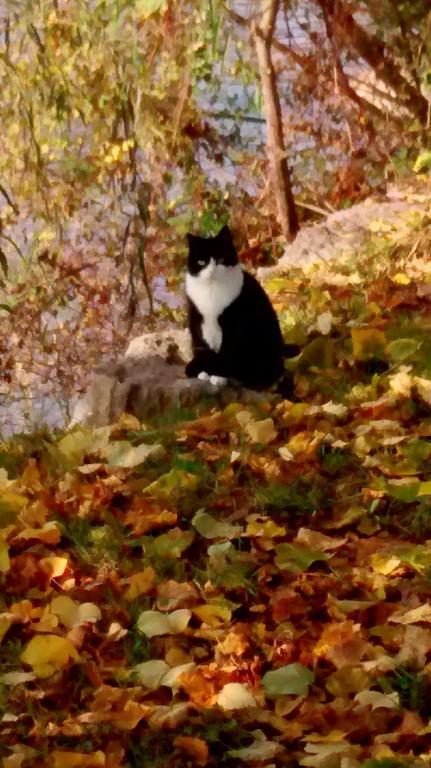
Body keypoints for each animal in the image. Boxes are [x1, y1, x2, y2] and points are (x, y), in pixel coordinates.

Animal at [186, 222, 294, 390]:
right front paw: (204, 372)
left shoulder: (235, 324)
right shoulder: (198, 322)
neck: (211, 289)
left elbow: (226, 353)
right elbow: (204, 348)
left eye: (220, 258)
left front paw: (218, 377)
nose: (211, 272)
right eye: (201, 262)